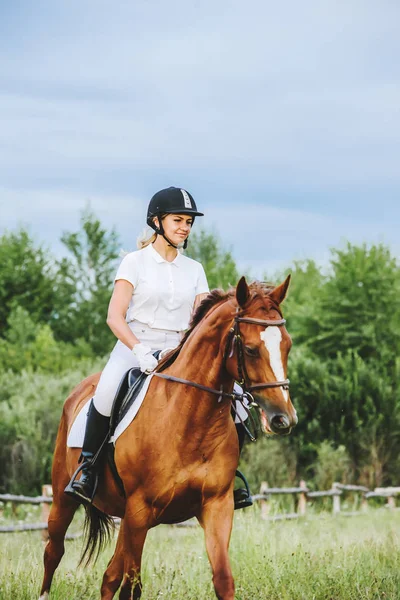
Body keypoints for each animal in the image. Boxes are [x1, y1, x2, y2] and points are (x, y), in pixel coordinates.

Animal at [39, 276, 296, 600]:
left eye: (287, 345)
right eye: (250, 349)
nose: (283, 419)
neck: (189, 422)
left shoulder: (217, 506)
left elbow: (223, 579)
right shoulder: (139, 511)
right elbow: (132, 587)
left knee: (109, 576)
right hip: (65, 498)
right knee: (54, 551)